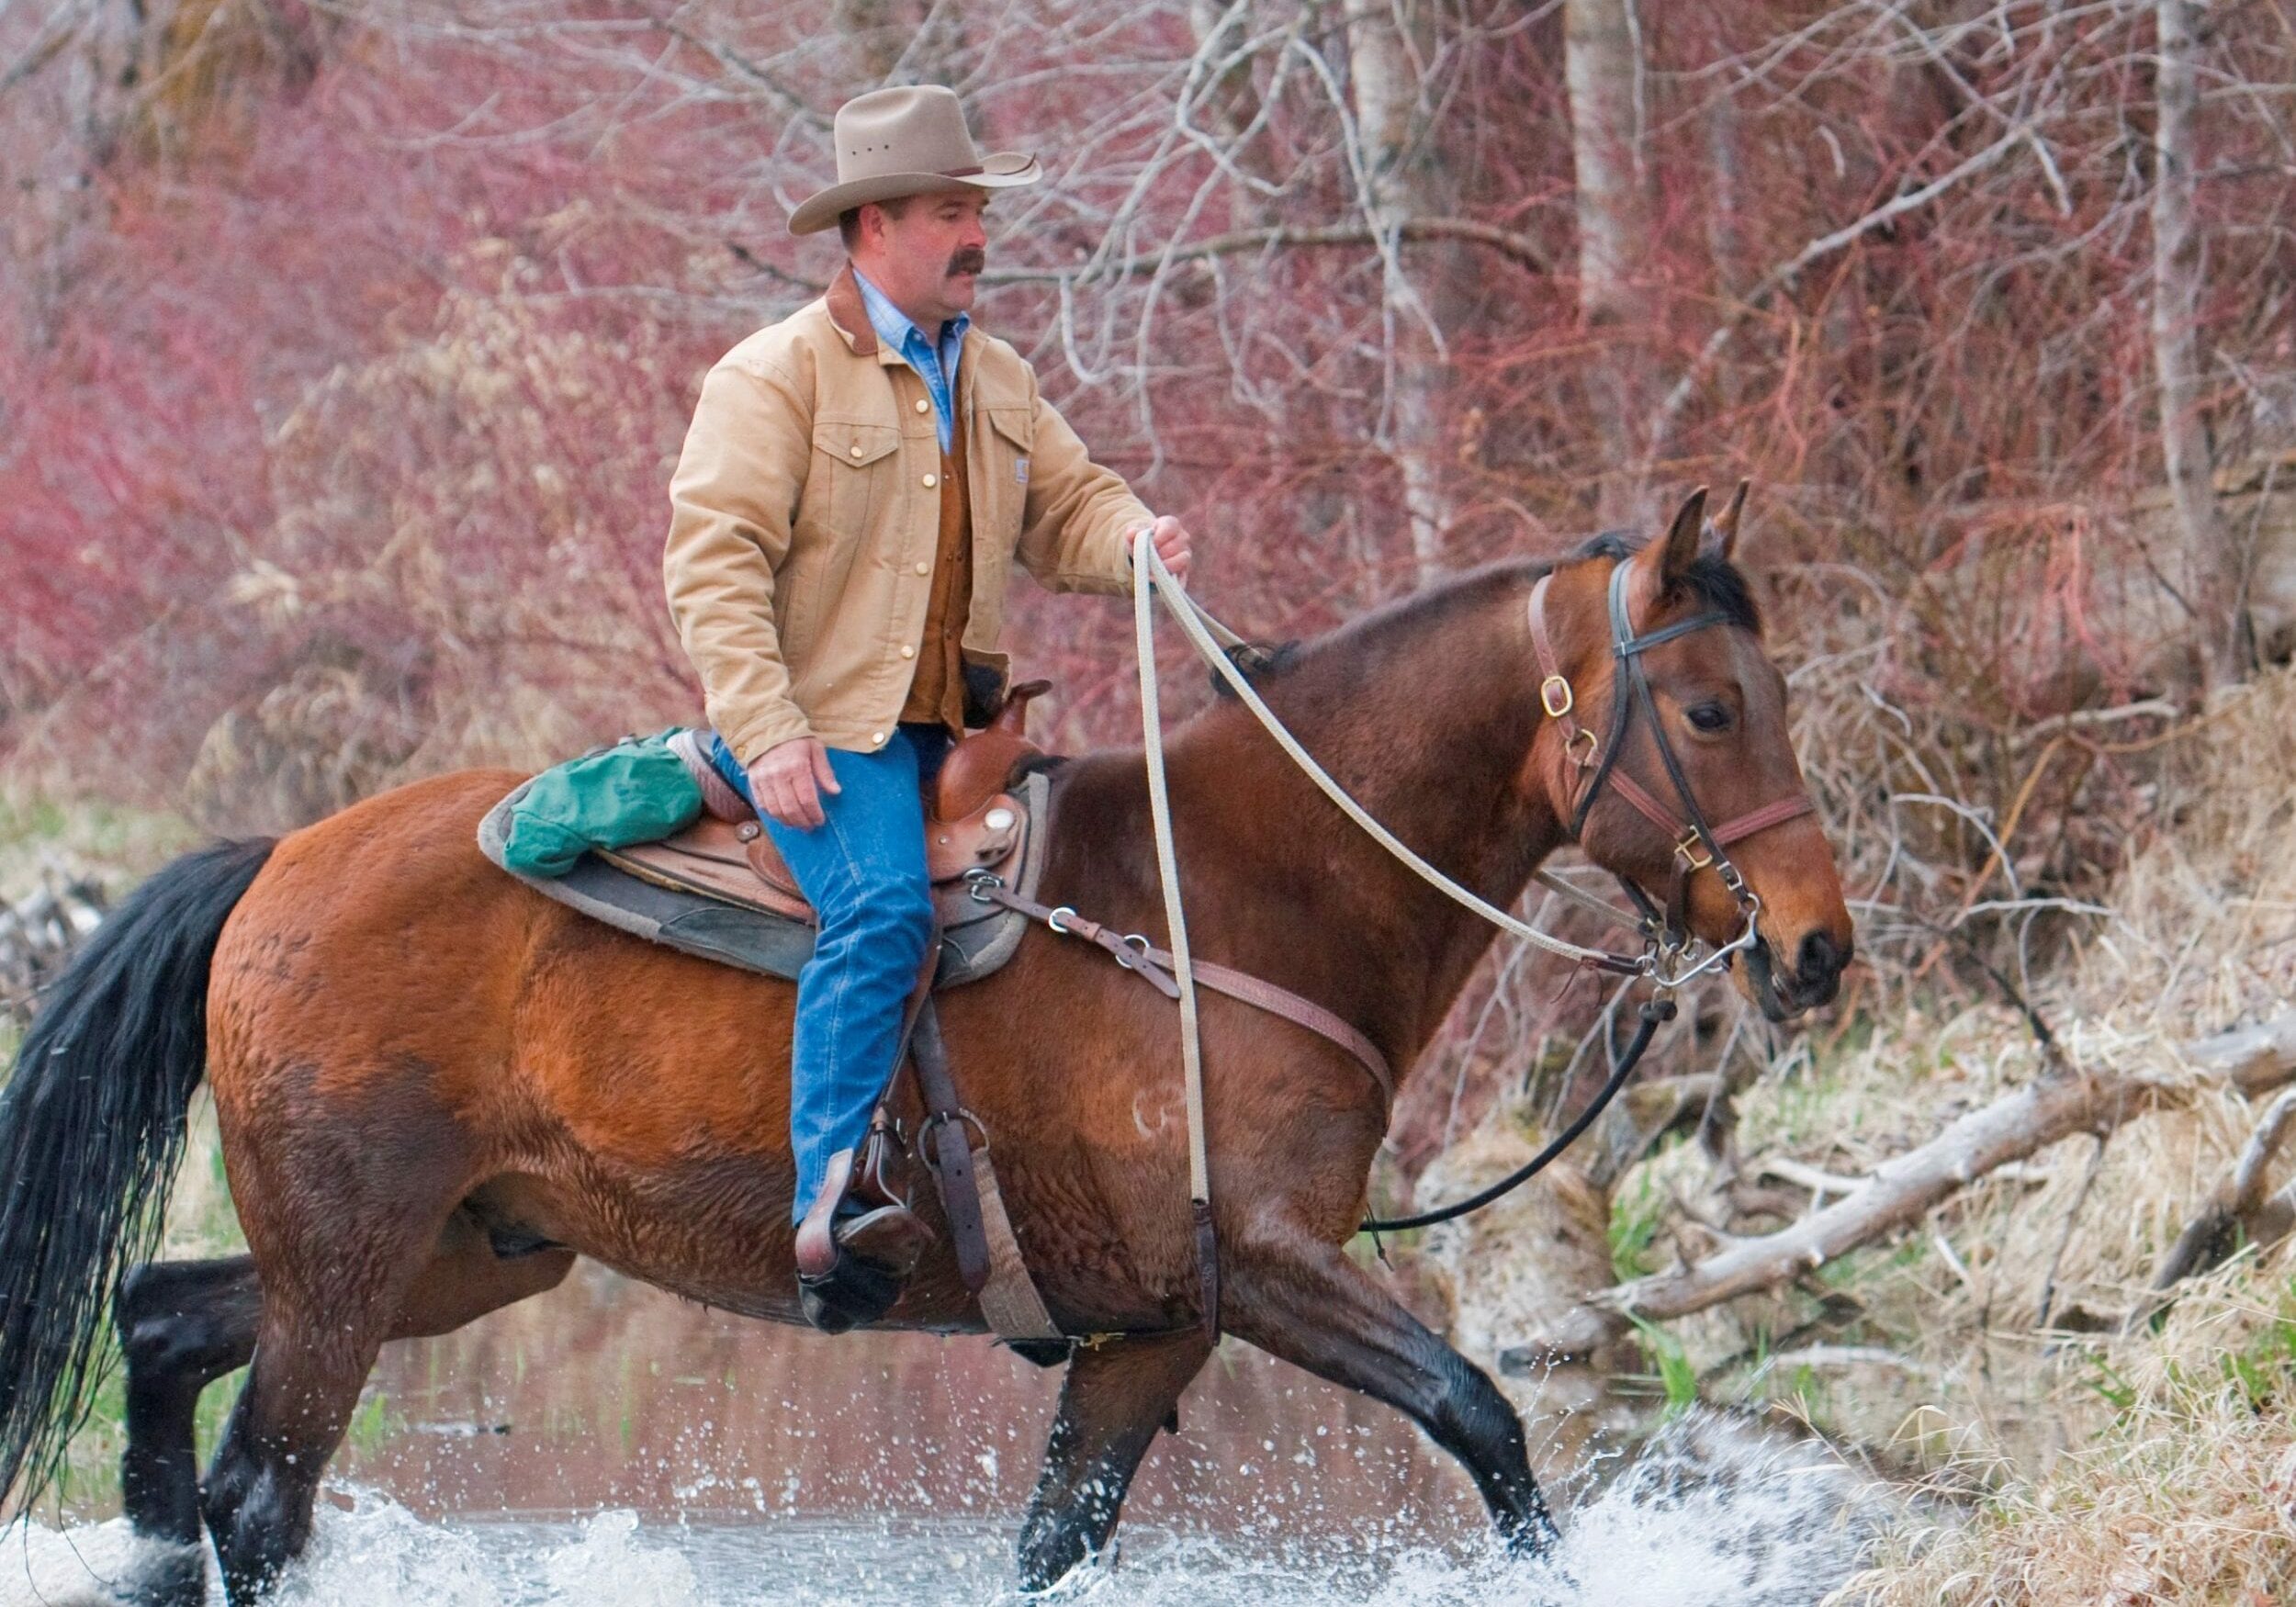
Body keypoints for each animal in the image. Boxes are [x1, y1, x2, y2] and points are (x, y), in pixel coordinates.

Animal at [0, 496, 1846, 1598]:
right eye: (1707, 710)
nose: (1820, 946)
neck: (1238, 901)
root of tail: (278, 862)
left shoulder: (1158, 1327)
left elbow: (1055, 1540)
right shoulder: (1270, 1265)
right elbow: (1486, 1417)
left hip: (462, 1249)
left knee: (161, 1324)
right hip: (358, 1255)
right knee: (262, 1492)